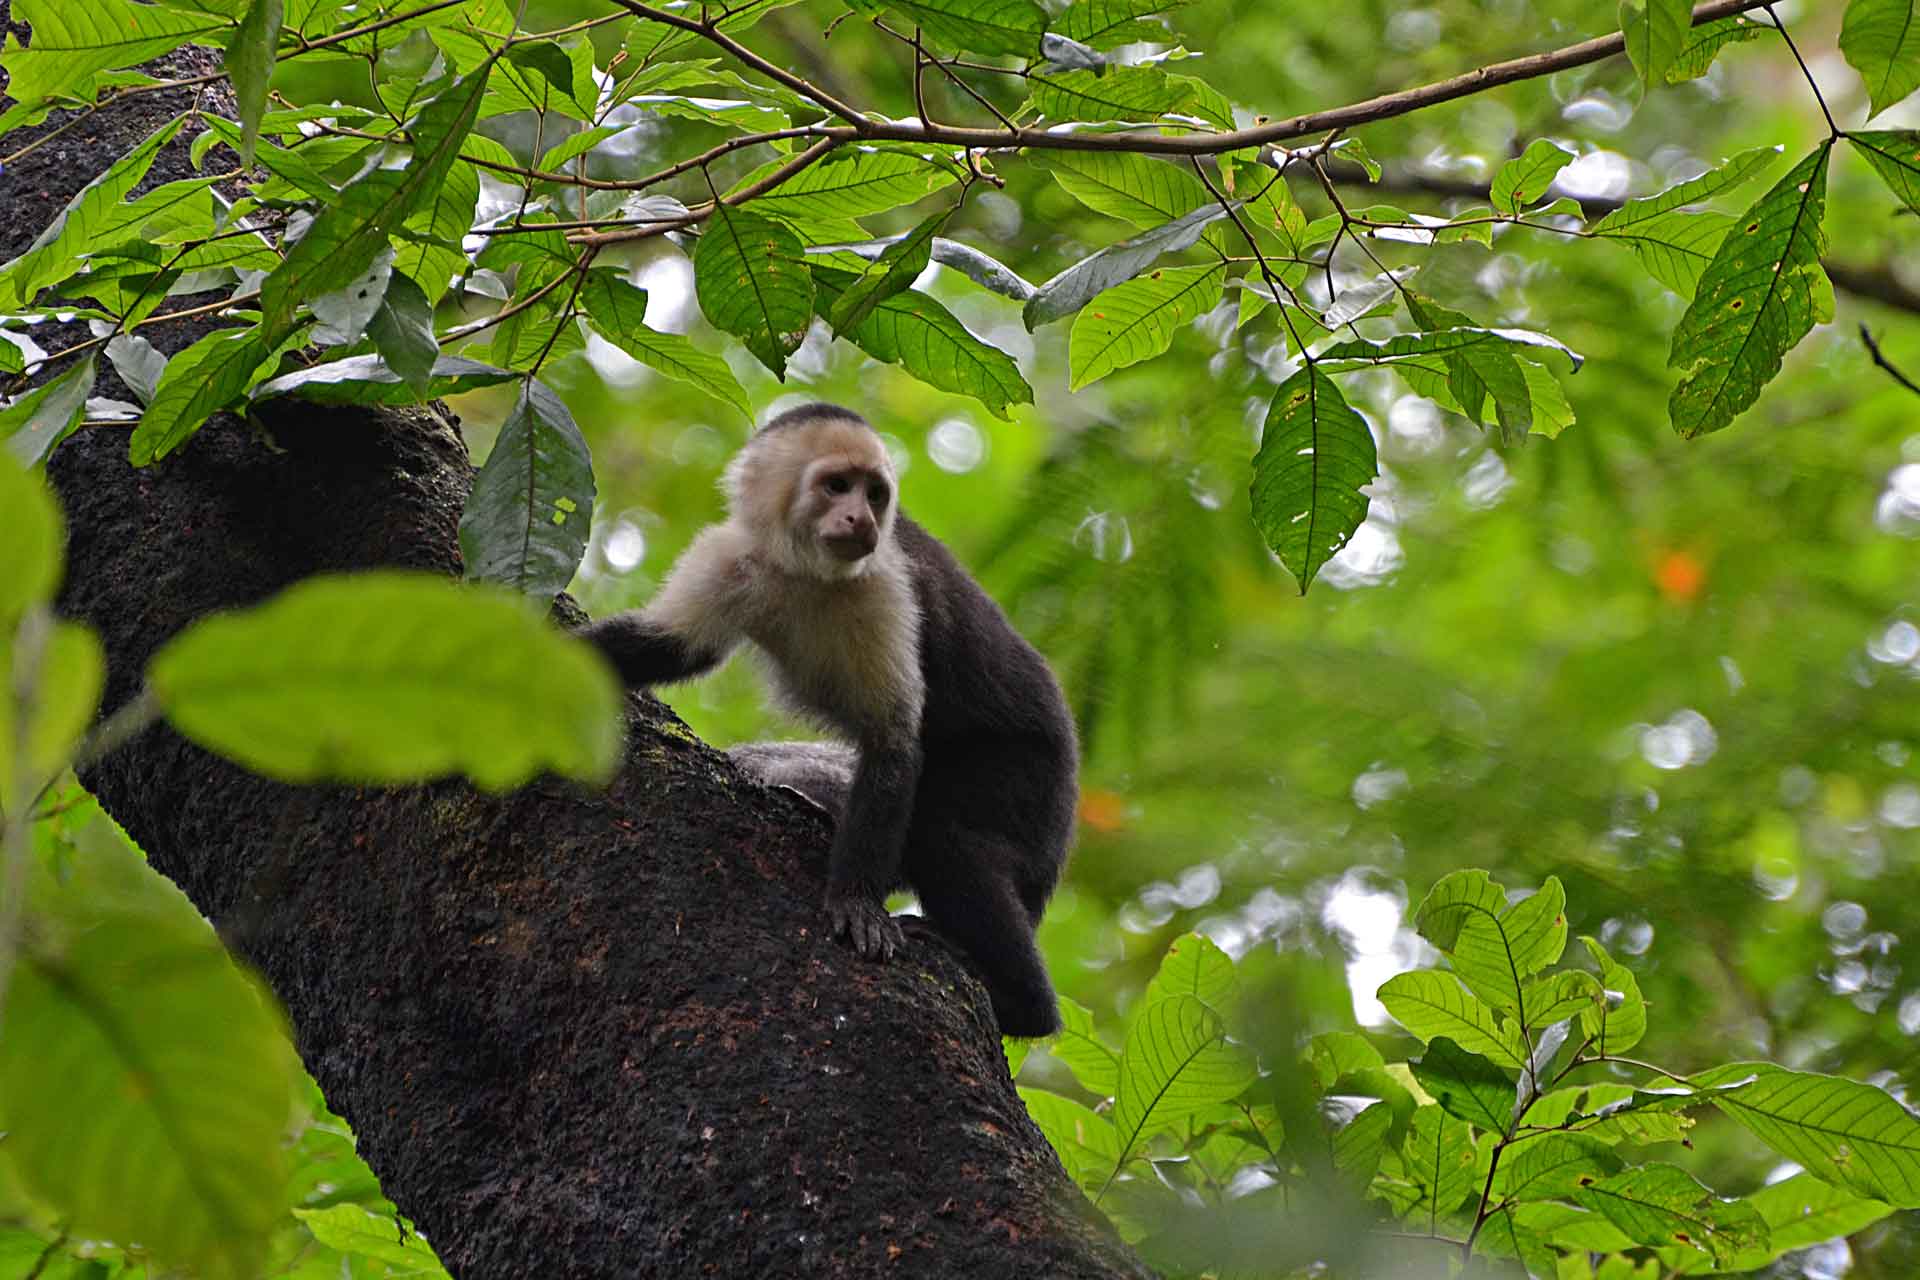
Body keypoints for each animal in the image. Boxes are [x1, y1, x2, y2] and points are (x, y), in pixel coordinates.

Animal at [576, 404, 1075, 1036]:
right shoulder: (734, 555)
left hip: (1029, 776)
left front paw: (855, 902)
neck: (805, 569)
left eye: (876, 494)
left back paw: (1025, 1006)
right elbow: (669, 647)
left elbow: (892, 742)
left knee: (946, 834)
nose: (861, 517)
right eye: (837, 486)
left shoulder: (886, 582)